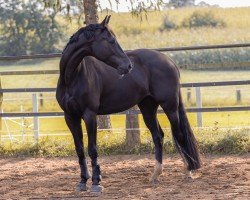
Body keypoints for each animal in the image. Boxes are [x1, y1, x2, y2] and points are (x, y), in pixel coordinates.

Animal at [56, 16, 201, 193]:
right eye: (110, 40)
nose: (128, 66)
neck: (72, 77)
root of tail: (169, 61)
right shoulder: (70, 117)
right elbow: (79, 149)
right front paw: (83, 182)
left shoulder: (90, 115)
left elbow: (92, 149)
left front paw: (96, 183)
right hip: (147, 108)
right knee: (158, 136)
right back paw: (155, 175)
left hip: (170, 106)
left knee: (179, 135)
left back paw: (188, 172)